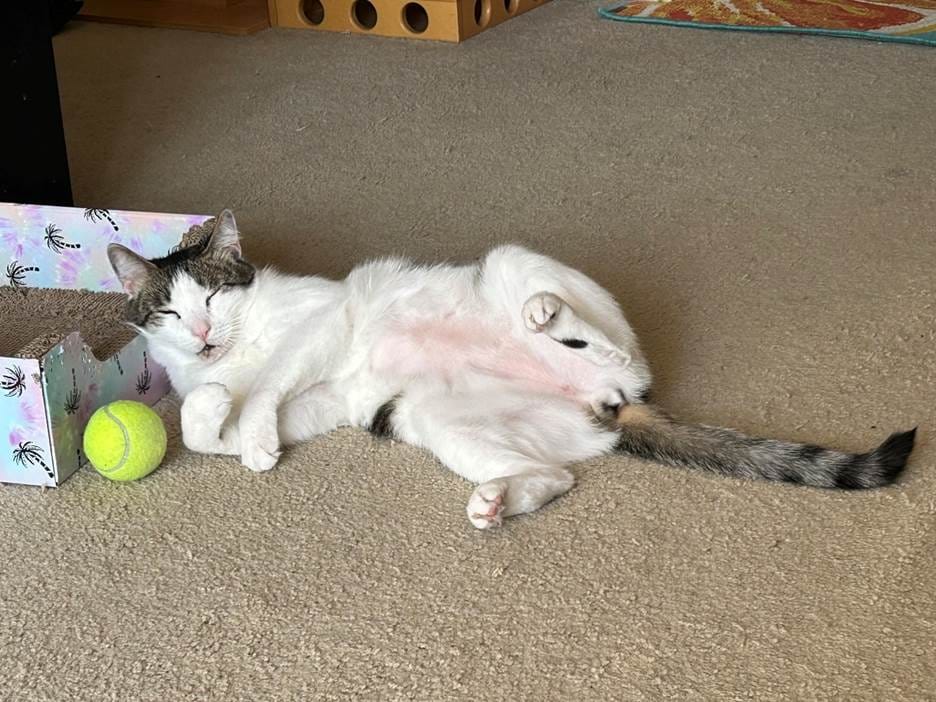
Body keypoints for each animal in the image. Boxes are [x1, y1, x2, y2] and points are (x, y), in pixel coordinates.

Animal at [106, 212, 916, 532]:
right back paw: (499, 500)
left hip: (515, 266)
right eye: (170, 312)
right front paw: (223, 416)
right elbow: (213, 428)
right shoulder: (318, 405)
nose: (203, 336)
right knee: (556, 476)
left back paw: (554, 324)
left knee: (614, 352)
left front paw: (245, 423)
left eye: (213, 296)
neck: (237, 351)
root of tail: (608, 404)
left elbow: (270, 381)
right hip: (435, 420)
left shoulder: (318, 323)